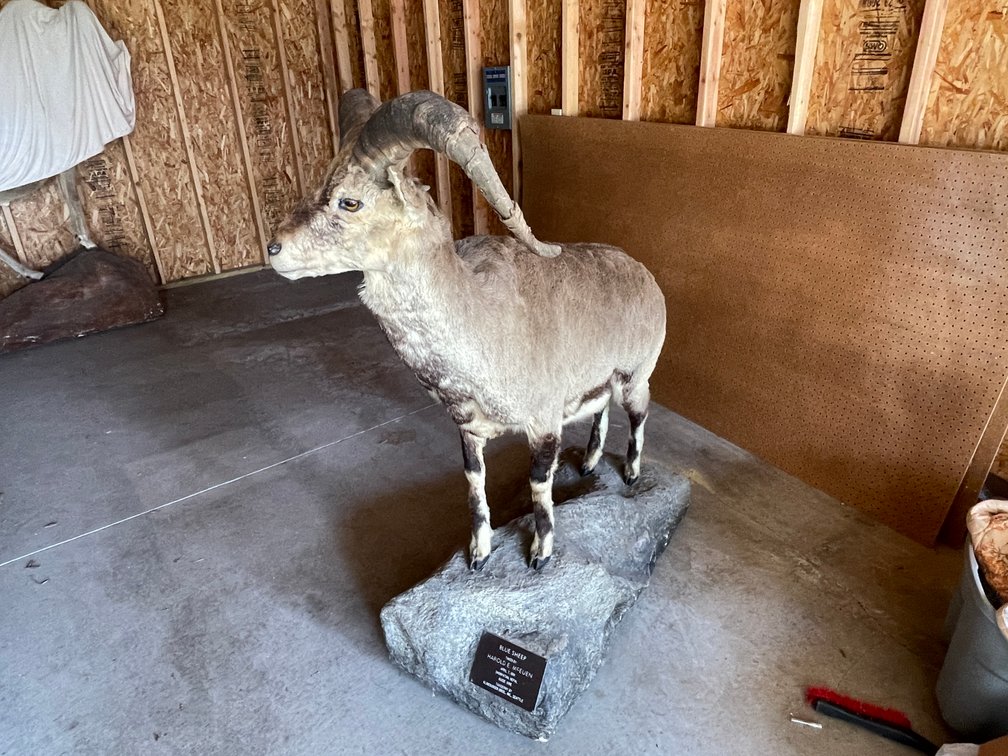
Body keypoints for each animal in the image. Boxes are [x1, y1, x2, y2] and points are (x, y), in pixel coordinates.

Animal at [267, 89, 666, 571]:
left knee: (638, 413)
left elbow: (539, 486)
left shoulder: (543, 422)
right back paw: (589, 464)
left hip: (636, 374)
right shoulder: (468, 429)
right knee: (600, 408)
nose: (275, 248)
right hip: (600, 379)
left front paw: (540, 553)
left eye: (350, 202)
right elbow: (474, 483)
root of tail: (647, 278)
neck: (482, 319)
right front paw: (478, 553)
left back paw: (630, 472)